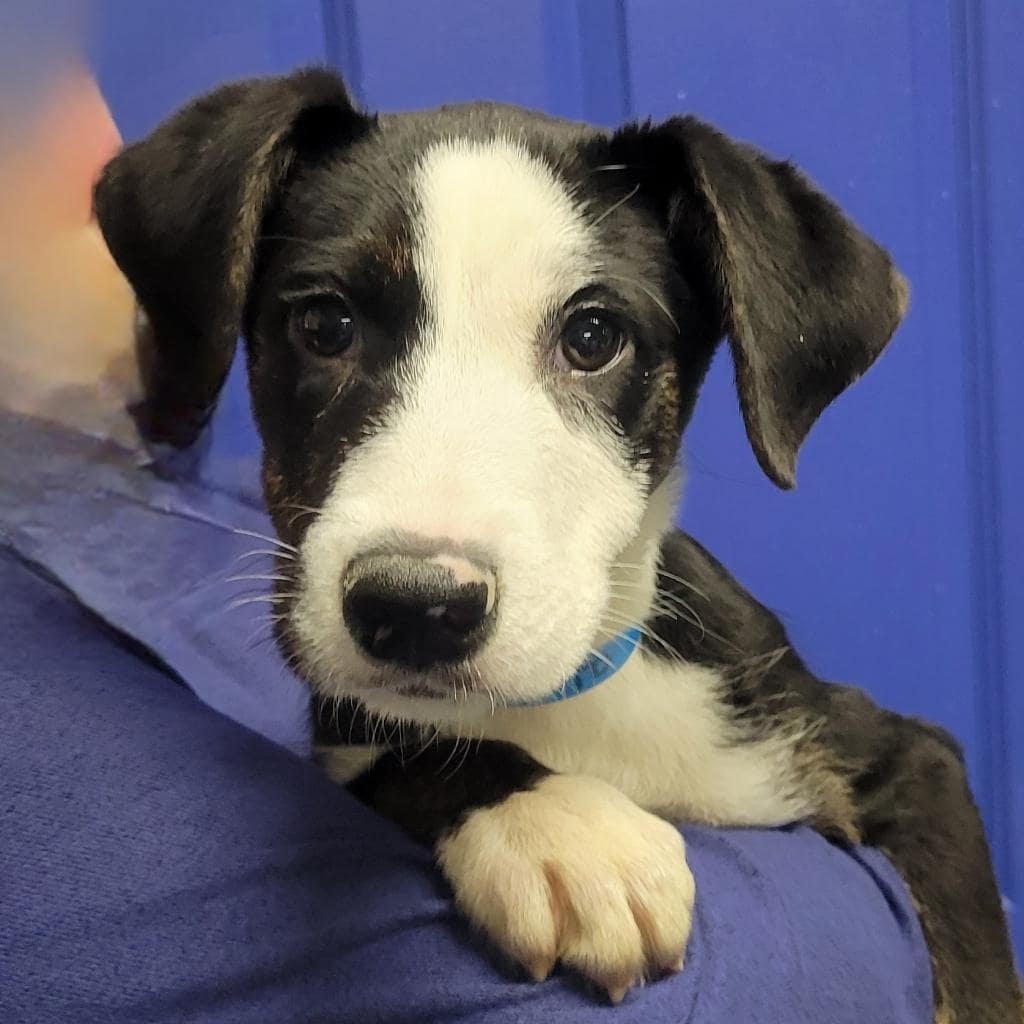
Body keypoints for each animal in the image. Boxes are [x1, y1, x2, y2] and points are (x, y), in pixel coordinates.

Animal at [96, 68, 1024, 1019]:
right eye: (325, 326)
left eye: (593, 337)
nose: (416, 609)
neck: (569, 698)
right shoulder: (346, 733)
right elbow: (412, 747)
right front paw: (563, 831)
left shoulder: (904, 758)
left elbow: (980, 981)